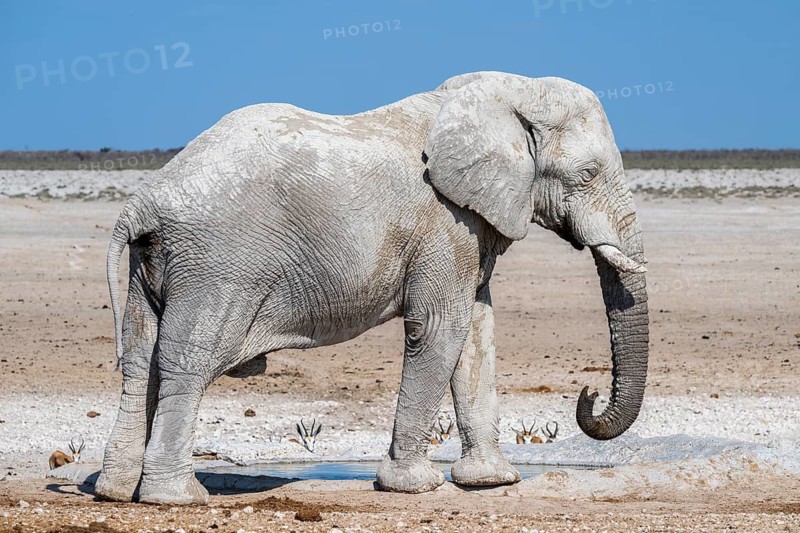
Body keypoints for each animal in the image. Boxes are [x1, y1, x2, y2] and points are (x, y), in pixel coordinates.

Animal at [95, 71, 649, 505]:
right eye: (586, 173)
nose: (588, 394)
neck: (511, 91)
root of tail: (143, 202)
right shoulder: (444, 221)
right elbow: (441, 330)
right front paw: (416, 486)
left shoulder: (468, 226)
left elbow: (477, 333)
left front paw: (493, 482)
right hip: (218, 264)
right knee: (187, 361)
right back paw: (177, 497)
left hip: (159, 264)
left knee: (141, 359)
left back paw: (117, 492)